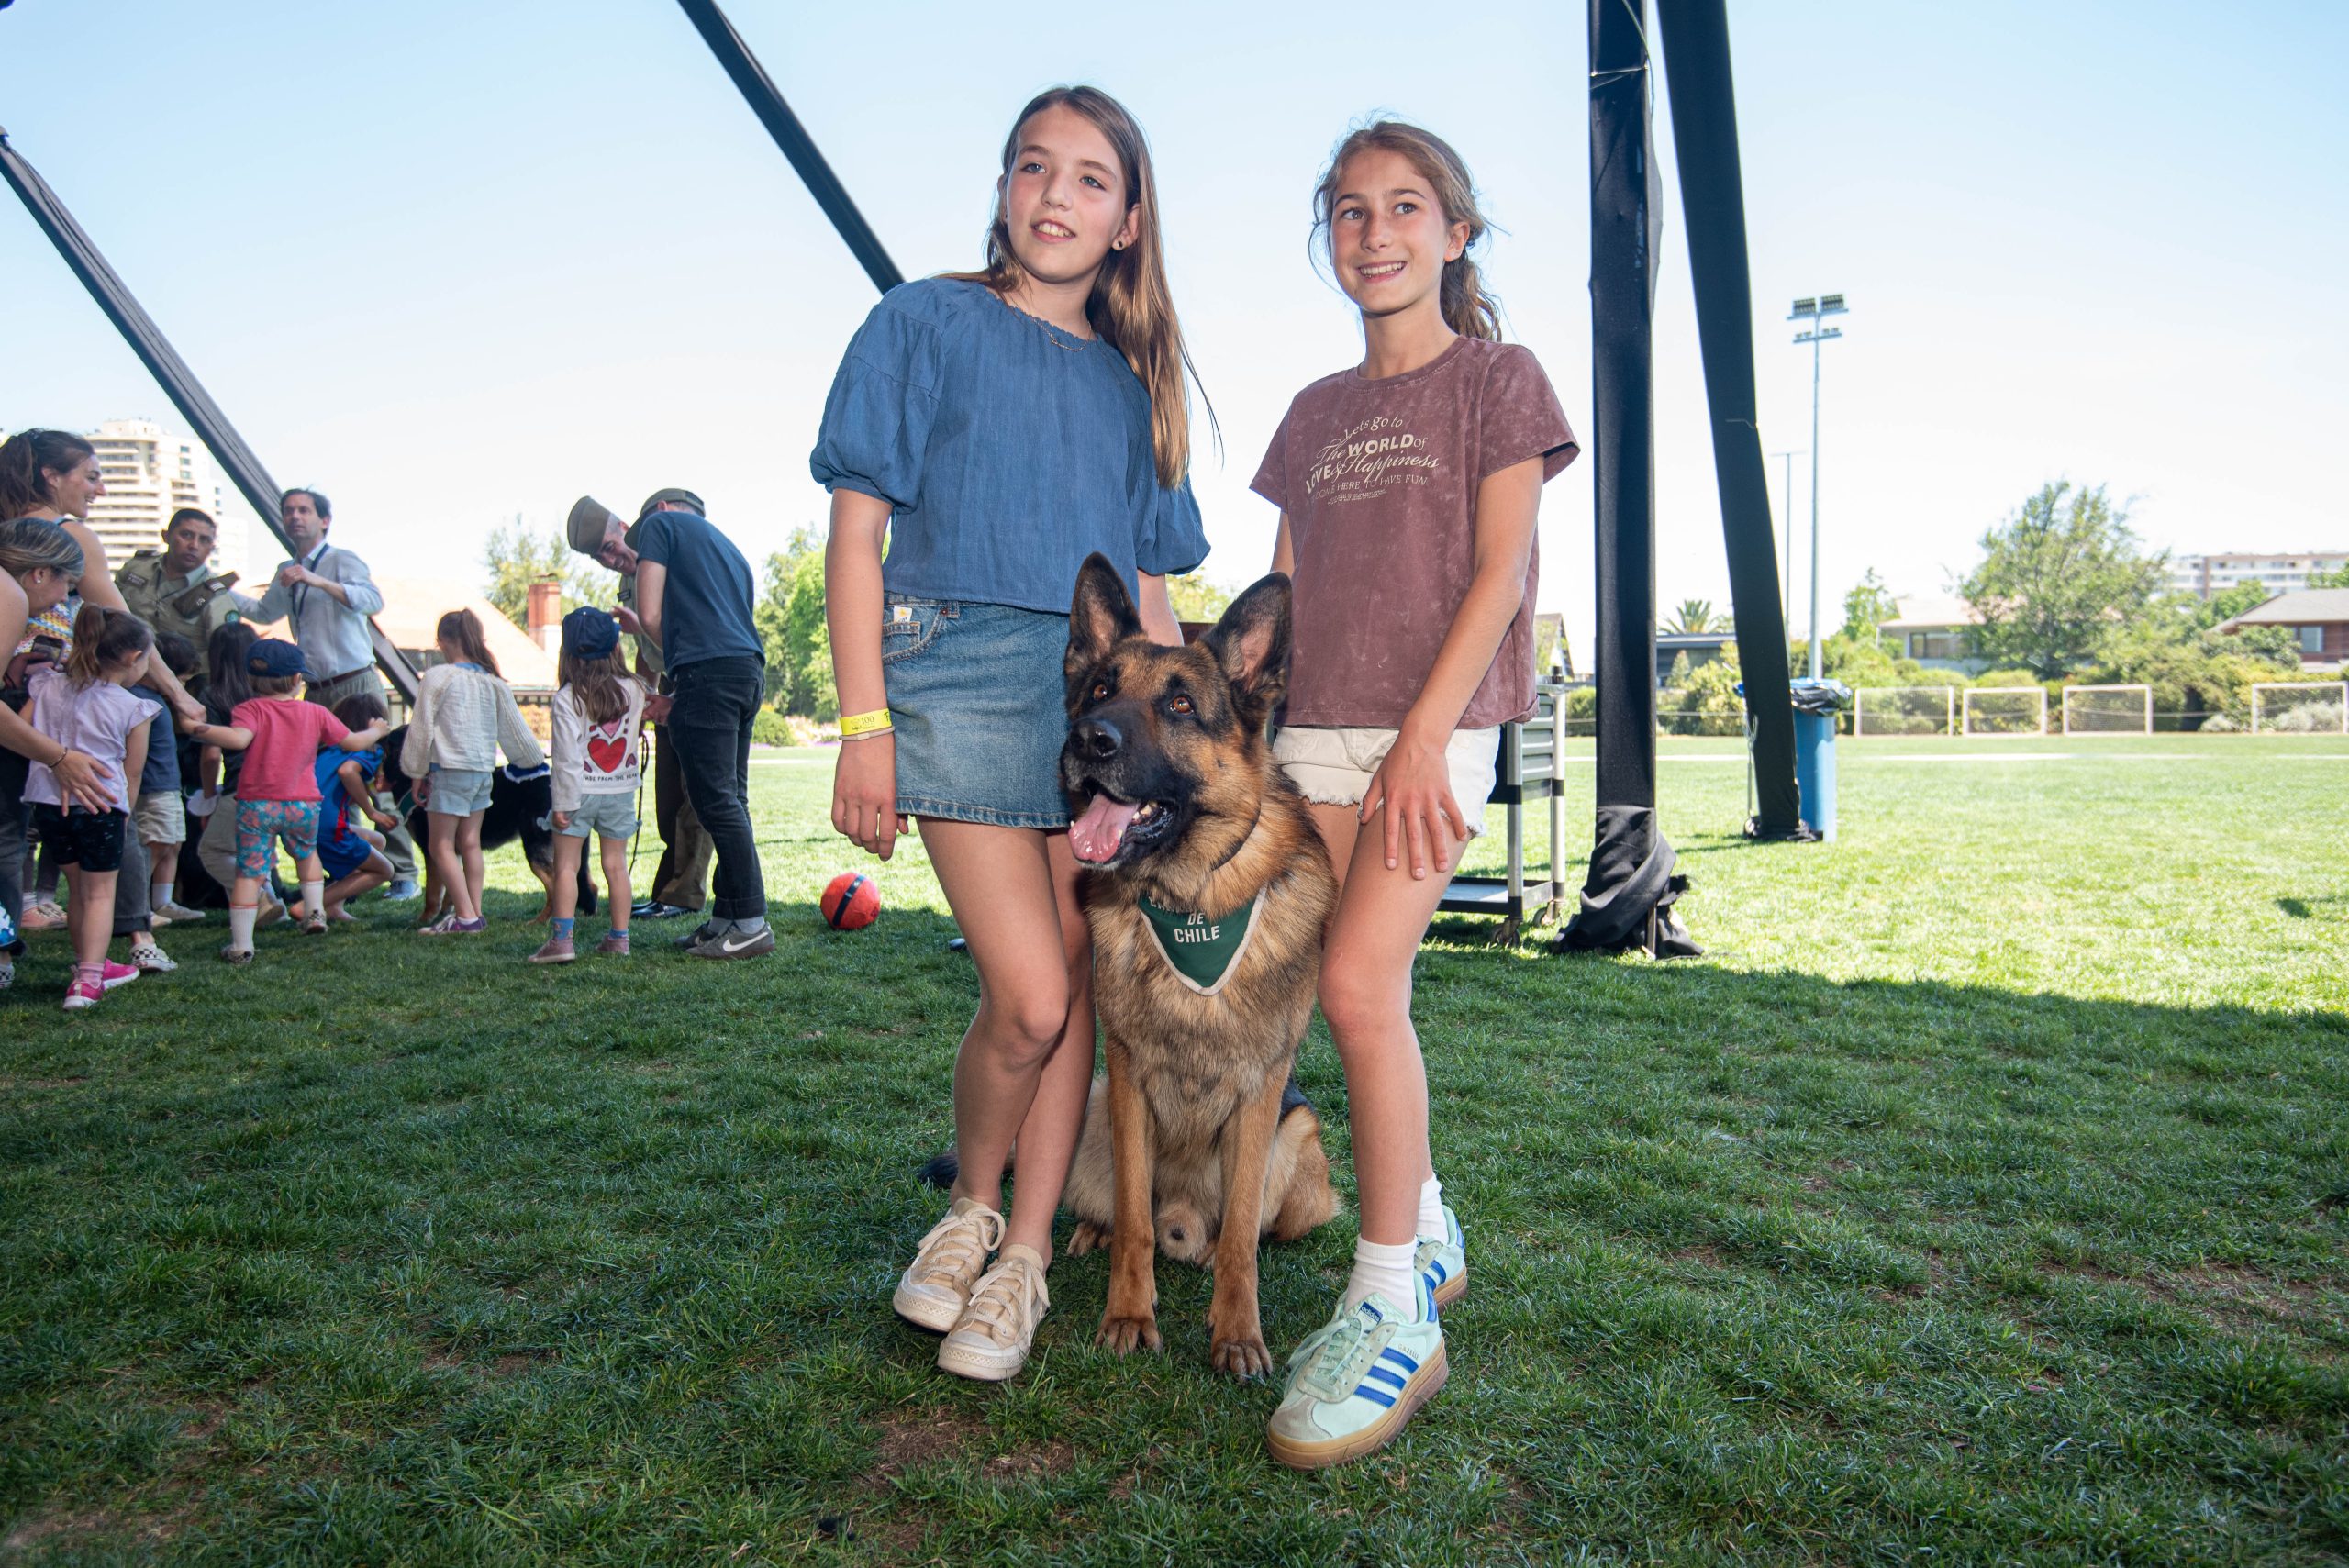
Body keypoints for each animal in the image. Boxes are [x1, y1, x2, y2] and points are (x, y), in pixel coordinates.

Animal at [378, 725, 597, 922]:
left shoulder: (431, 850)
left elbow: (432, 892)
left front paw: (424, 920)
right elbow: (453, 886)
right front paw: (450, 914)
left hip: (536, 847)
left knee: (556, 887)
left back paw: (541, 921)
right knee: (587, 885)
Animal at [1058, 553, 1341, 1378]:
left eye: (1181, 704)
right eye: (1099, 688)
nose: (1087, 738)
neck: (1189, 900)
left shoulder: (1261, 1092)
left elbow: (1244, 1228)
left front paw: (1237, 1331)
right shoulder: (1125, 1077)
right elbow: (1133, 1216)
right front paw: (1128, 1311)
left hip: (1301, 1138)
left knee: (1254, 1229)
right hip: (1092, 1110)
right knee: (1128, 1212)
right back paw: (1096, 1231)